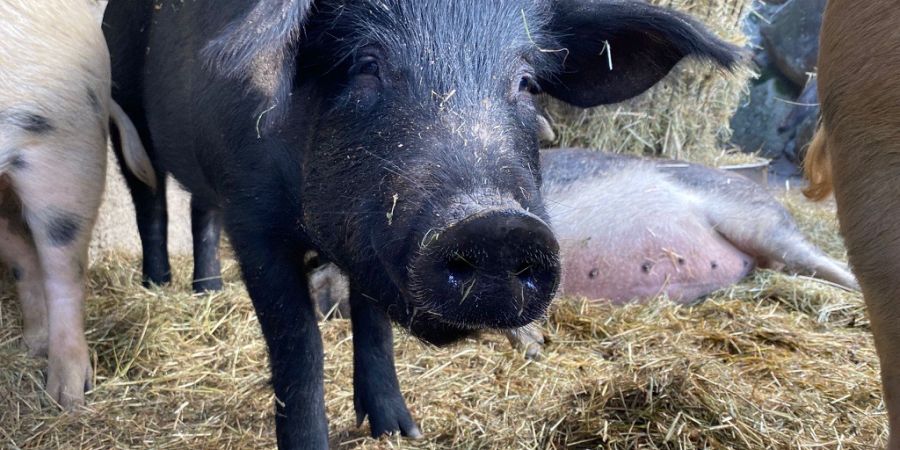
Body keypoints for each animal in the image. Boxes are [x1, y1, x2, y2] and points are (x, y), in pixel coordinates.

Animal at [102, 0, 740, 446]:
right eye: (366, 66)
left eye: (526, 82)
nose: (495, 226)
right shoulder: (254, 218)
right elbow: (299, 347)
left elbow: (374, 324)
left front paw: (401, 432)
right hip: (122, 105)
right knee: (151, 200)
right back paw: (157, 285)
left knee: (196, 209)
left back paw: (206, 291)